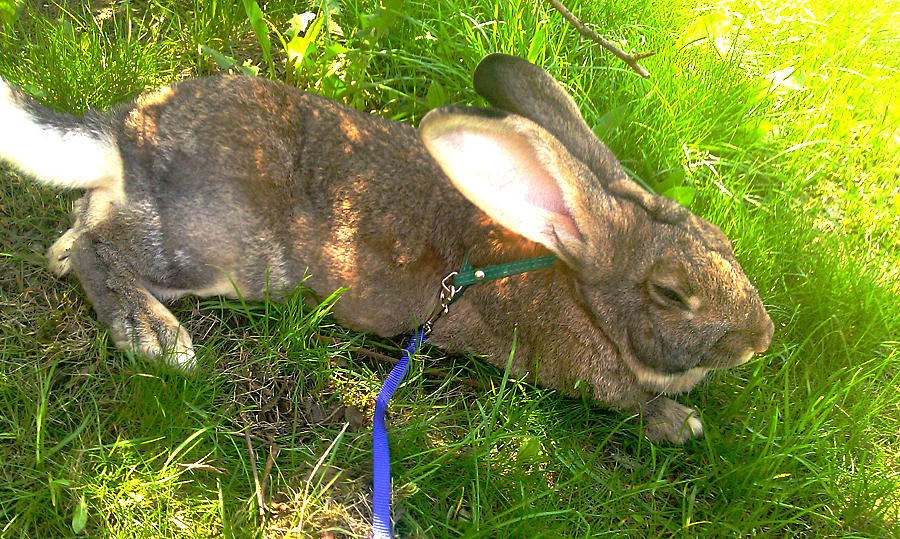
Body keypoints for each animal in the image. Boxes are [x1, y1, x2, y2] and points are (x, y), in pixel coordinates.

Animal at [0, 53, 773, 444]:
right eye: (671, 293)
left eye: (725, 243)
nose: (760, 339)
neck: (574, 284)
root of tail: (125, 133)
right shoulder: (583, 370)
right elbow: (629, 403)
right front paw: (680, 422)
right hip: (213, 250)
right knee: (98, 249)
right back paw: (154, 336)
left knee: (81, 222)